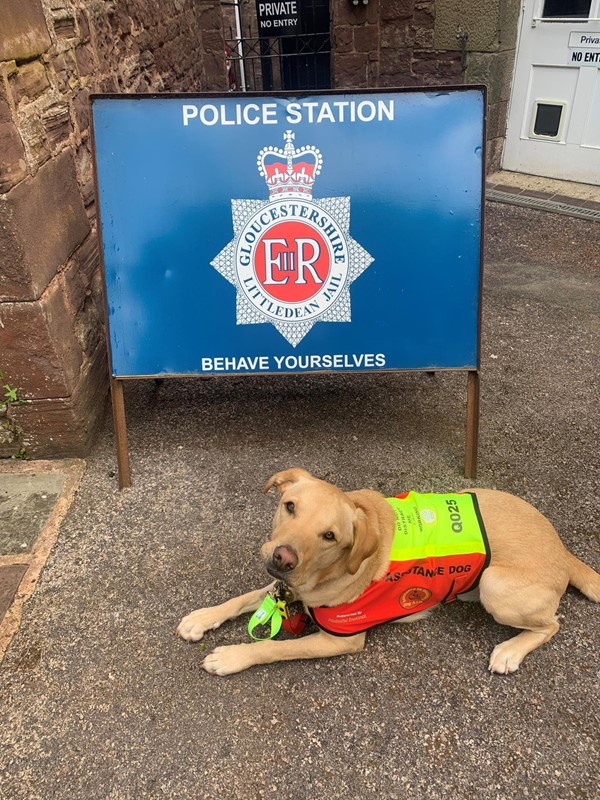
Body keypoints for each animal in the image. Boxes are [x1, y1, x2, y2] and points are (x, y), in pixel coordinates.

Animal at [178, 466, 600, 680]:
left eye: (329, 536)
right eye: (289, 506)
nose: (283, 558)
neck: (322, 575)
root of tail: (562, 549)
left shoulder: (341, 638)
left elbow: (273, 648)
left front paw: (233, 656)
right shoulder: (287, 586)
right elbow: (243, 598)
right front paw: (203, 617)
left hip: (496, 586)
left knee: (551, 625)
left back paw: (511, 651)